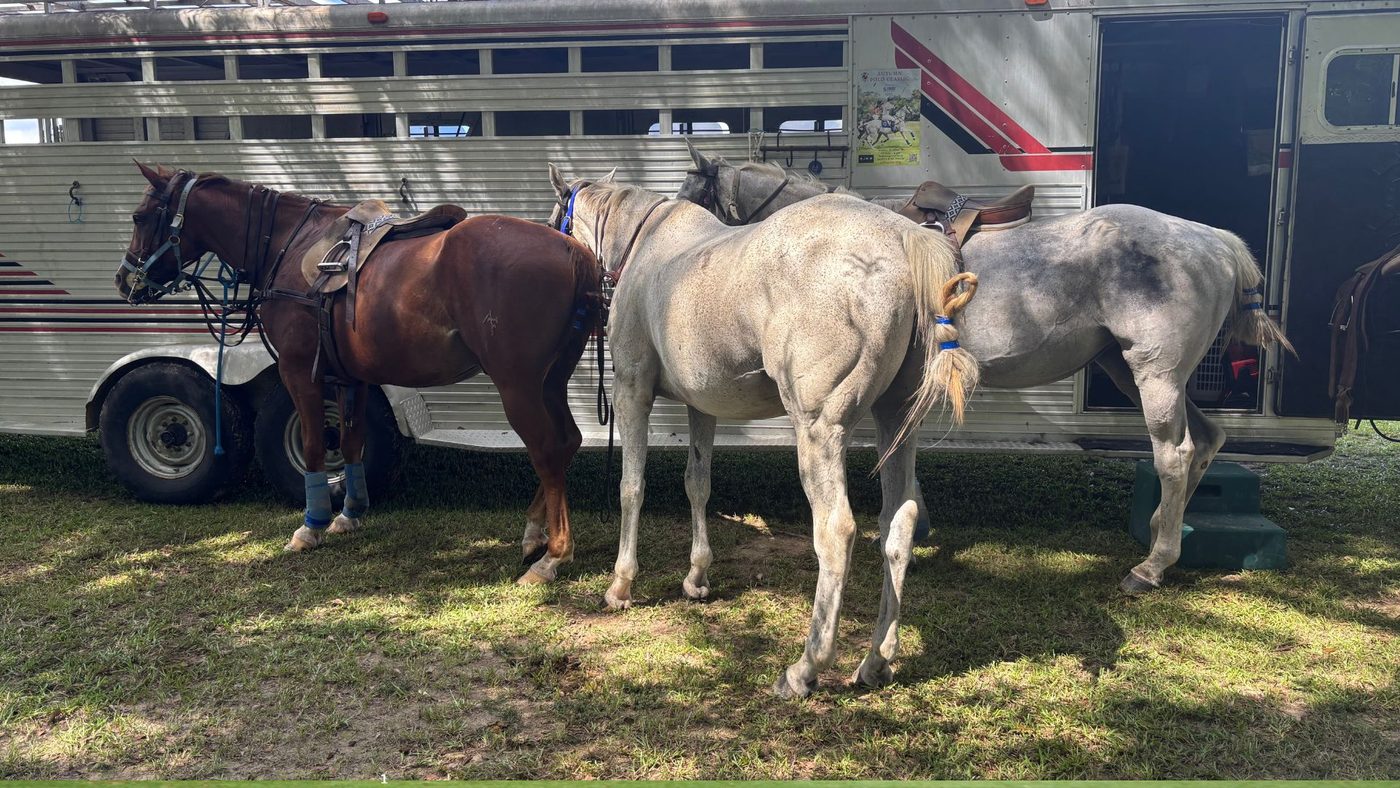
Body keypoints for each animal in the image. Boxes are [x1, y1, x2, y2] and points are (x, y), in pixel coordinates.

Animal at [116, 163, 602, 585]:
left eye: (140, 216)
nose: (125, 280)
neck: (288, 244)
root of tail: (573, 251)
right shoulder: (353, 378)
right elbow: (349, 442)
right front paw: (349, 514)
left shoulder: (300, 372)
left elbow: (315, 444)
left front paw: (311, 524)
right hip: (551, 381)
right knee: (566, 442)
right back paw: (535, 534)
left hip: (518, 384)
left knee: (545, 450)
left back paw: (553, 555)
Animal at [546, 163, 979, 698]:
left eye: (557, 220)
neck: (649, 247)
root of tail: (902, 237)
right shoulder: (701, 406)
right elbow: (697, 484)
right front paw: (697, 577)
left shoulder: (632, 391)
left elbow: (632, 487)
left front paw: (621, 584)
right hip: (897, 423)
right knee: (896, 525)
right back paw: (876, 662)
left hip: (819, 429)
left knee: (837, 531)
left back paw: (805, 668)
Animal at [677, 143, 1295, 594]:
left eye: (693, 197)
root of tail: (1213, 240)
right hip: (1129, 368)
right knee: (1207, 441)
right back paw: (1162, 540)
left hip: (1156, 374)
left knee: (1176, 454)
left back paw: (1151, 566)